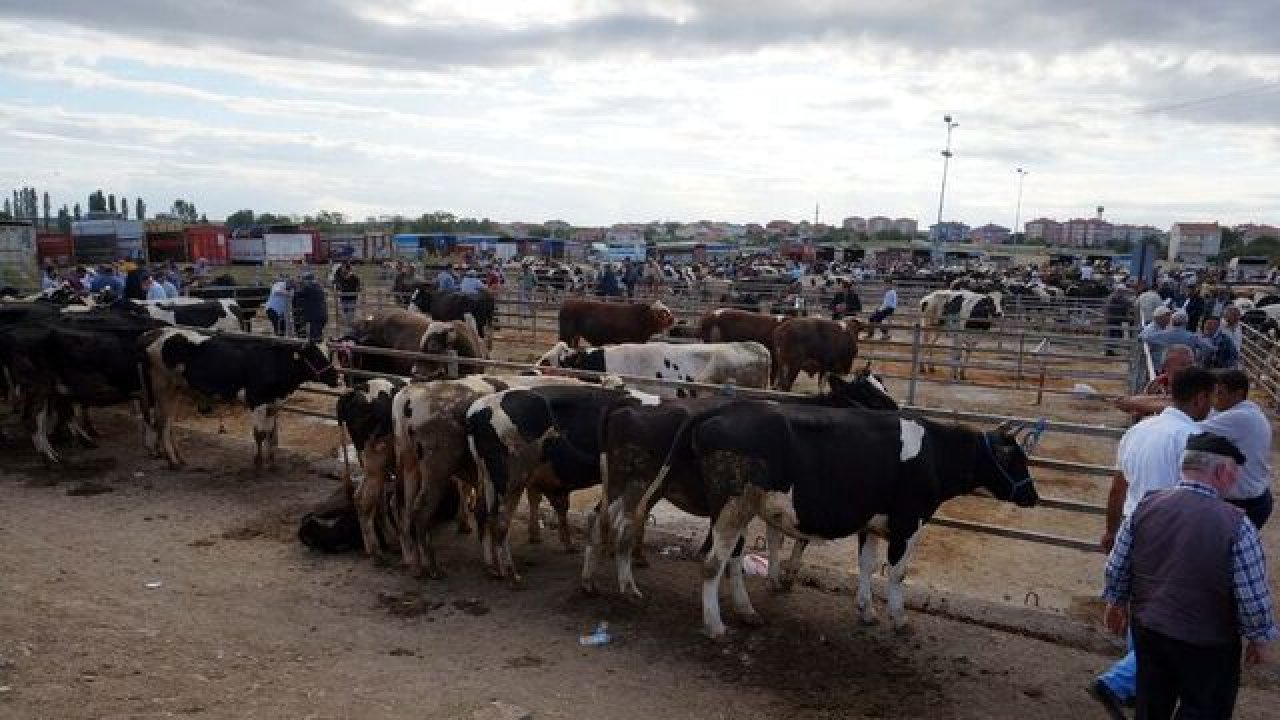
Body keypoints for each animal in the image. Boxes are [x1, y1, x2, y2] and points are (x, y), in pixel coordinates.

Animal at [140, 327, 340, 468]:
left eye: (329, 354)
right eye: (316, 357)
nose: (336, 377)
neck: (274, 363)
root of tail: (155, 333)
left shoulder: (273, 404)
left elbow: (270, 432)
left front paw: (271, 461)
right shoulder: (257, 400)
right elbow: (259, 434)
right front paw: (258, 462)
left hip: (176, 389)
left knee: (167, 424)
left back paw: (178, 458)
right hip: (162, 388)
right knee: (162, 424)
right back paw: (172, 461)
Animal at [386, 371, 583, 573]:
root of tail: (410, 394)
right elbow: (540, 499)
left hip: (408, 464)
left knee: (400, 505)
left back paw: (411, 559)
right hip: (436, 469)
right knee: (419, 509)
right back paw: (431, 566)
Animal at [581, 366, 901, 597]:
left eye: (884, 388)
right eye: (871, 395)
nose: (899, 414)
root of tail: (626, 402)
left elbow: (780, 537)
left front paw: (777, 577)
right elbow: (791, 539)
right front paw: (783, 578)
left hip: (622, 485)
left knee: (602, 517)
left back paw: (601, 573)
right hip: (634, 484)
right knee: (614, 521)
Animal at [632, 399, 1039, 635]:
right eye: (1016, 460)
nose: (1033, 497)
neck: (935, 453)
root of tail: (725, 408)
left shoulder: (872, 523)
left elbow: (866, 565)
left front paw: (866, 611)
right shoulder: (909, 523)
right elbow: (896, 572)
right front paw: (899, 619)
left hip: (737, 509)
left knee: (730, 560)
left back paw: (746, 612)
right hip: (734, 505)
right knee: (713, 563)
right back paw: (715, 624)